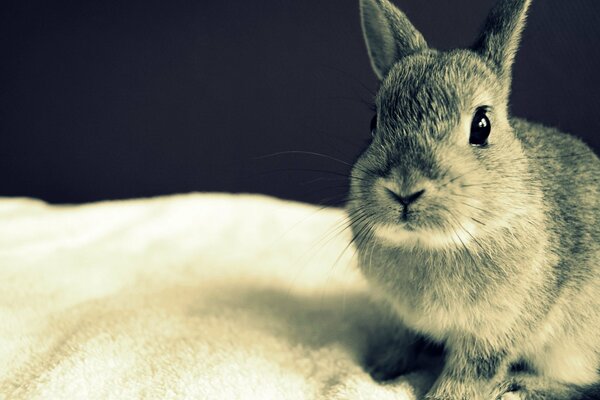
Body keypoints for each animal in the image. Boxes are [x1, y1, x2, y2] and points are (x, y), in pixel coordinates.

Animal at [346, 0, 600, 398]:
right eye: (374, 124)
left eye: (481, 126)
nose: (405, 188)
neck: (432, 243)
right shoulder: (405, 321)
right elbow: (404, 343)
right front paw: (379, 371)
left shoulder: (493, 331)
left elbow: (468, 374)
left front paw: (440, 395)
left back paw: (520, 383)